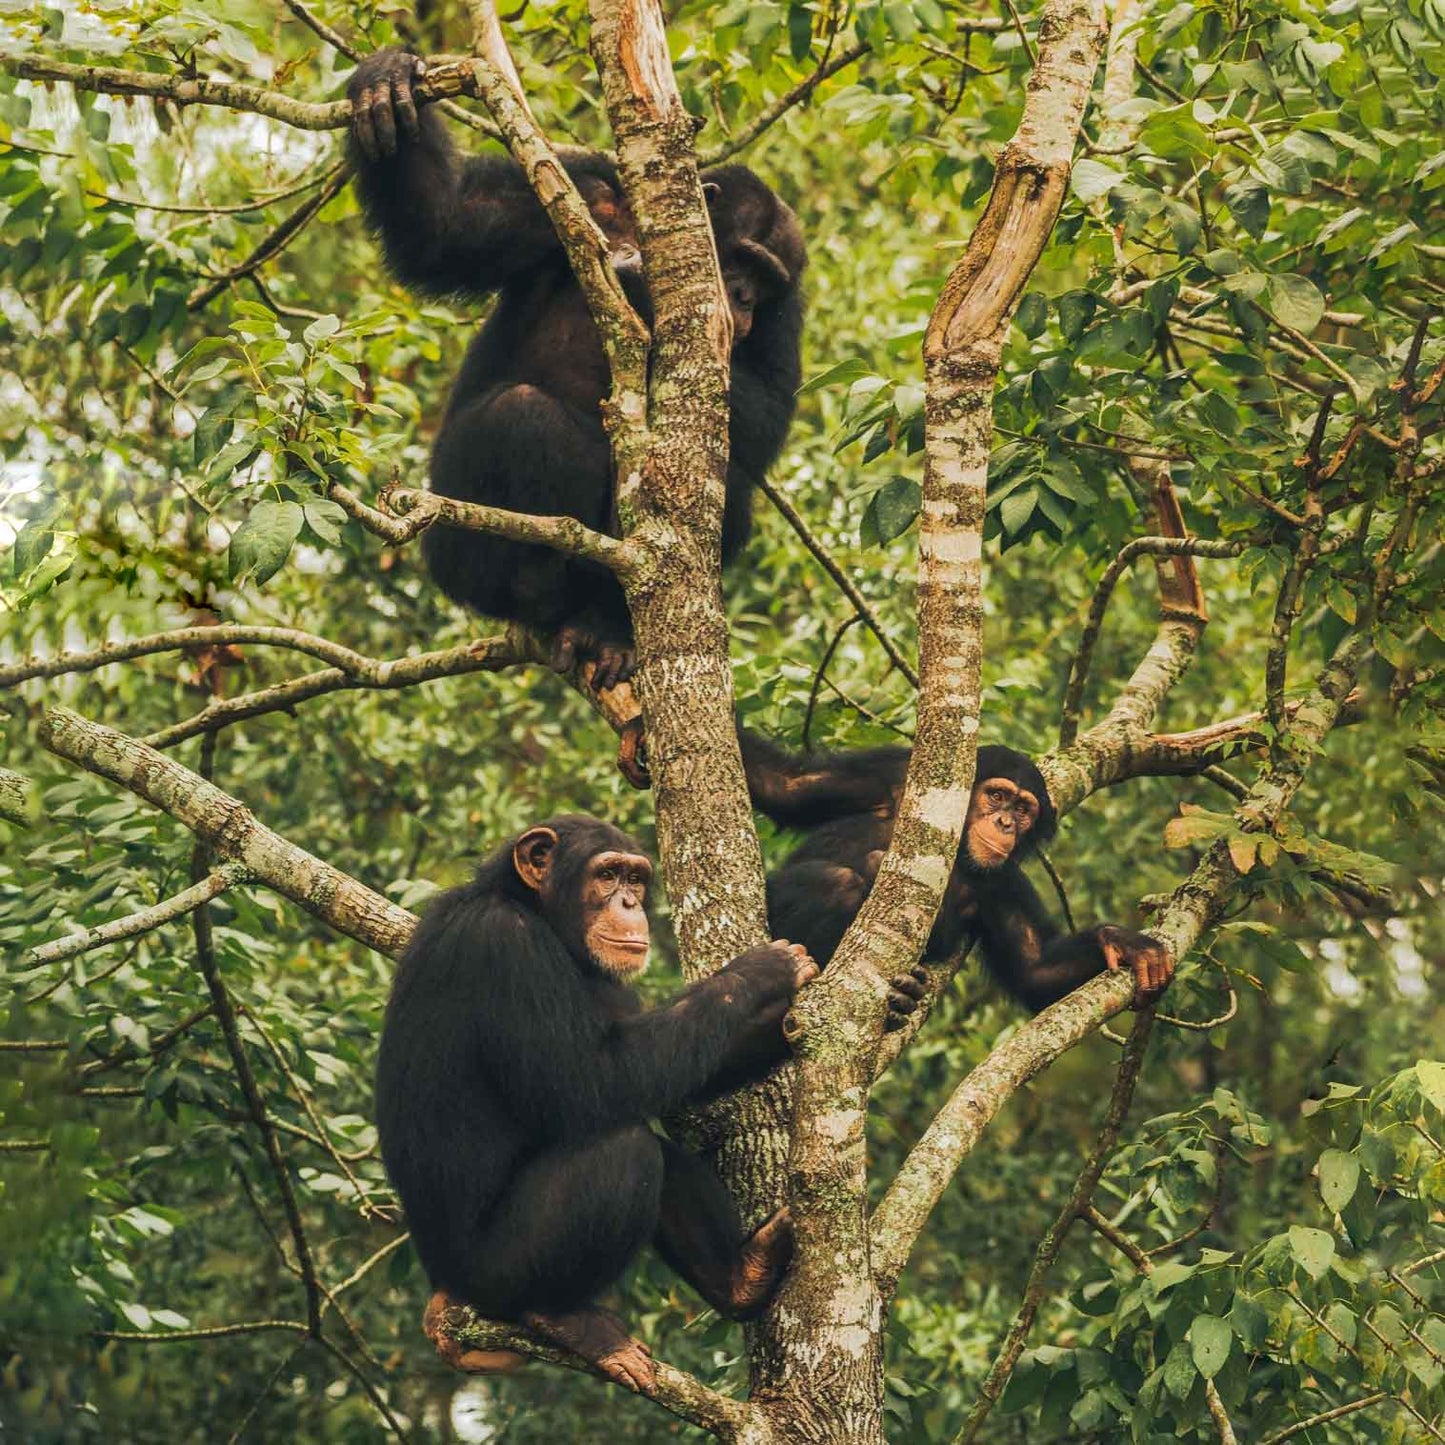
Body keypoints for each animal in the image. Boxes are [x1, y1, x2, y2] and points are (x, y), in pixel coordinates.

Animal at [345, 48, 809, 690]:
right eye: (740, 258)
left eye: (764, 283)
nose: (740, 297)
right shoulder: (575, 186)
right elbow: (446, 224)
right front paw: (386, 83)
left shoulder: (789, 306)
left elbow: (766, 409)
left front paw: (640, 289)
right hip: (454, 550)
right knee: (523, 416)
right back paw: (539, 583)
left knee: (729, 490)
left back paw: (605, 627)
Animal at [372, 814, 820, 1387]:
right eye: (607, 875)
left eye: (636, 879)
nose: (629, 903)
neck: (537, 916)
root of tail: (444, 1290)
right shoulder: (504, 946)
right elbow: (592, 1079)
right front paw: (762, 971)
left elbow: (665, 1072)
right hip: (492, 1273)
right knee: (624, 1149)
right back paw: (563, 1318)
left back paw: (743, 1277)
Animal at [739, 728, 1167, 1023]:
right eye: (997, 795)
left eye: (1023, 809)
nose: (1005, 823)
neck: (958, 847)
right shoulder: (886, 775)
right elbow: (782, 782)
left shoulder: (1005, 885)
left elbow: (1036, 969)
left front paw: (1122, 942)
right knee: (837, 884)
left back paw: (905, 997)